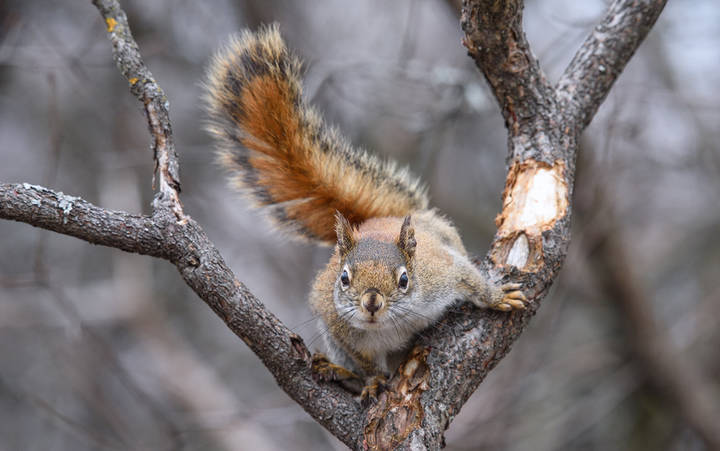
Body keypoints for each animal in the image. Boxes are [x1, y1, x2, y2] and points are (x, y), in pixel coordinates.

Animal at [204, 25, 526, 396]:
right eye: (344, 278)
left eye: (404, 279)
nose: (371, 303)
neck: (388, 325)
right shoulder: (339, 327)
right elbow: (367, 362)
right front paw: (373, 381)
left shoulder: (441, 274)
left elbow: (469, 279)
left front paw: (497, 297)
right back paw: (341, 372)